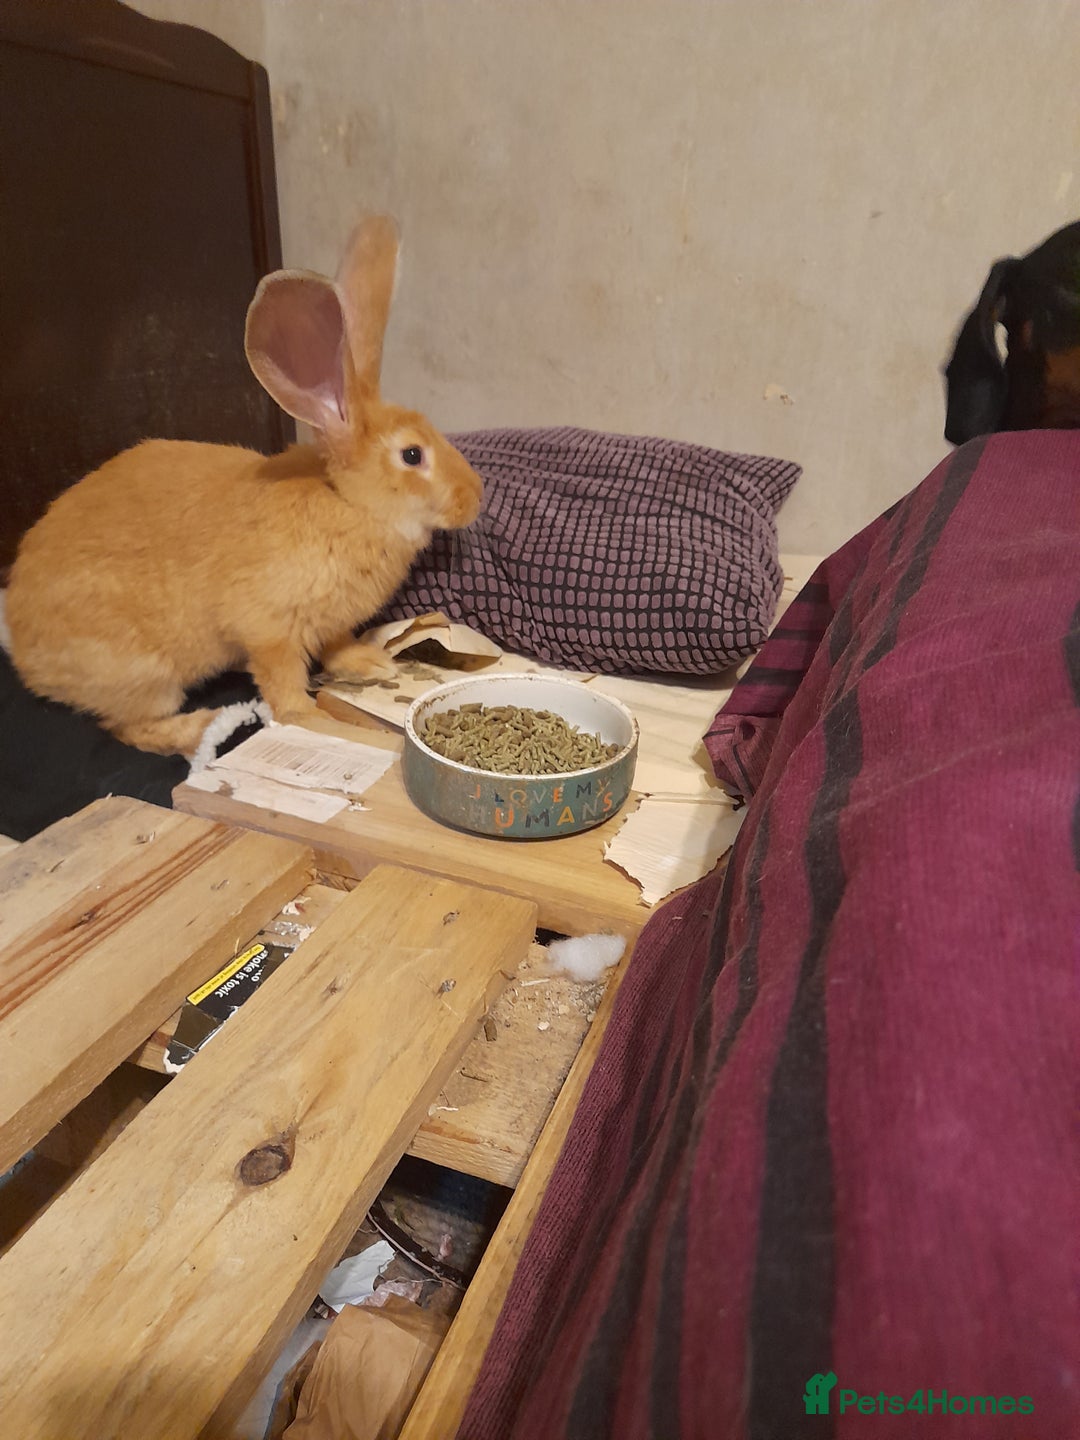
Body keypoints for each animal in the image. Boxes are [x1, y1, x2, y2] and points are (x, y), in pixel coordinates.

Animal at [4, 216, 483, 758]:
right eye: (412, 455)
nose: (476, 496)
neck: (346, 501)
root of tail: (25, 652)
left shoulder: (329, 623)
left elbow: (338, 646)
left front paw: (372, 663)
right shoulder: (269, 630)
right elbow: (283, 688)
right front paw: (317, 720)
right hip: (144, 673)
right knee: (130, 727)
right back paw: (199, 726)